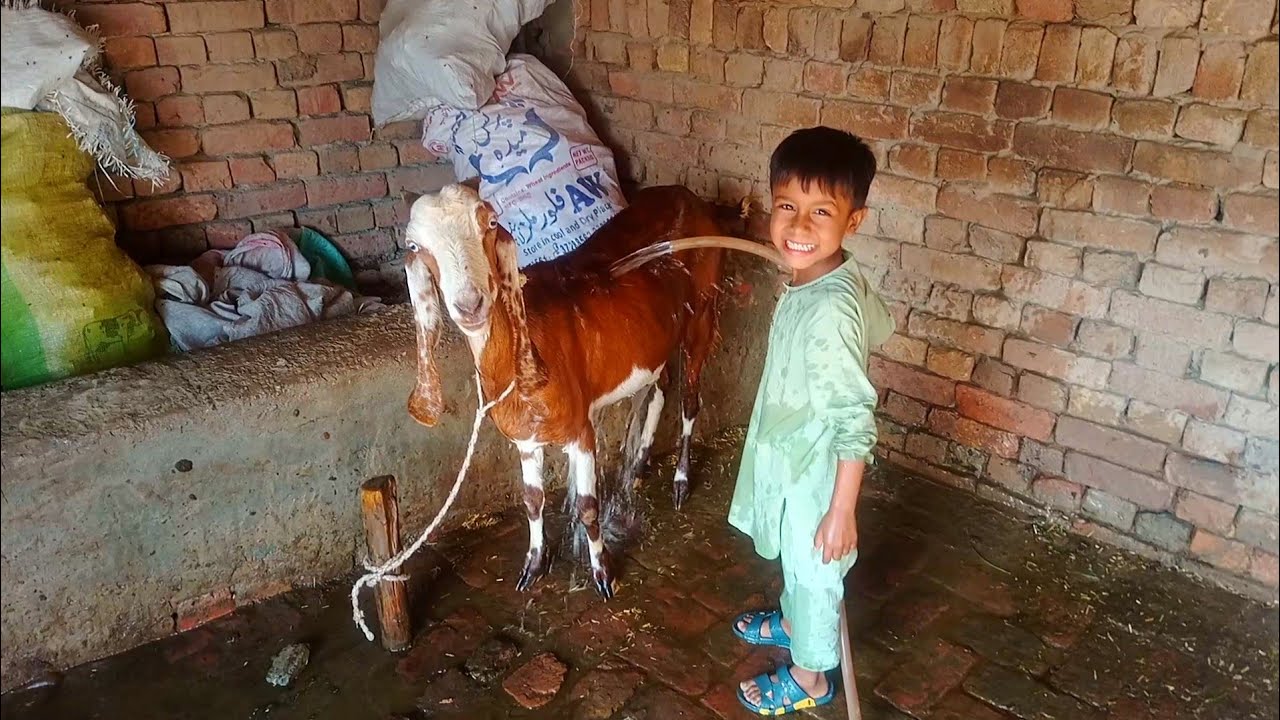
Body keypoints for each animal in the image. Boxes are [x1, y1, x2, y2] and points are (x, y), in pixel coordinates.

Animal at [402, 183, 726, 598]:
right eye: (415, 246)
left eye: (489, 223)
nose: (470, 305)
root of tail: (686, 194)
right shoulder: (526, 439)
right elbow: (532, 501)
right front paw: (534, 564)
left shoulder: (580, 429)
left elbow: (587, 506)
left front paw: (603, 574)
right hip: (655, 339)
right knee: (661, 387)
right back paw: (638, 464)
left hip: (704, 309)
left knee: (689, 399)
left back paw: (681, 483)